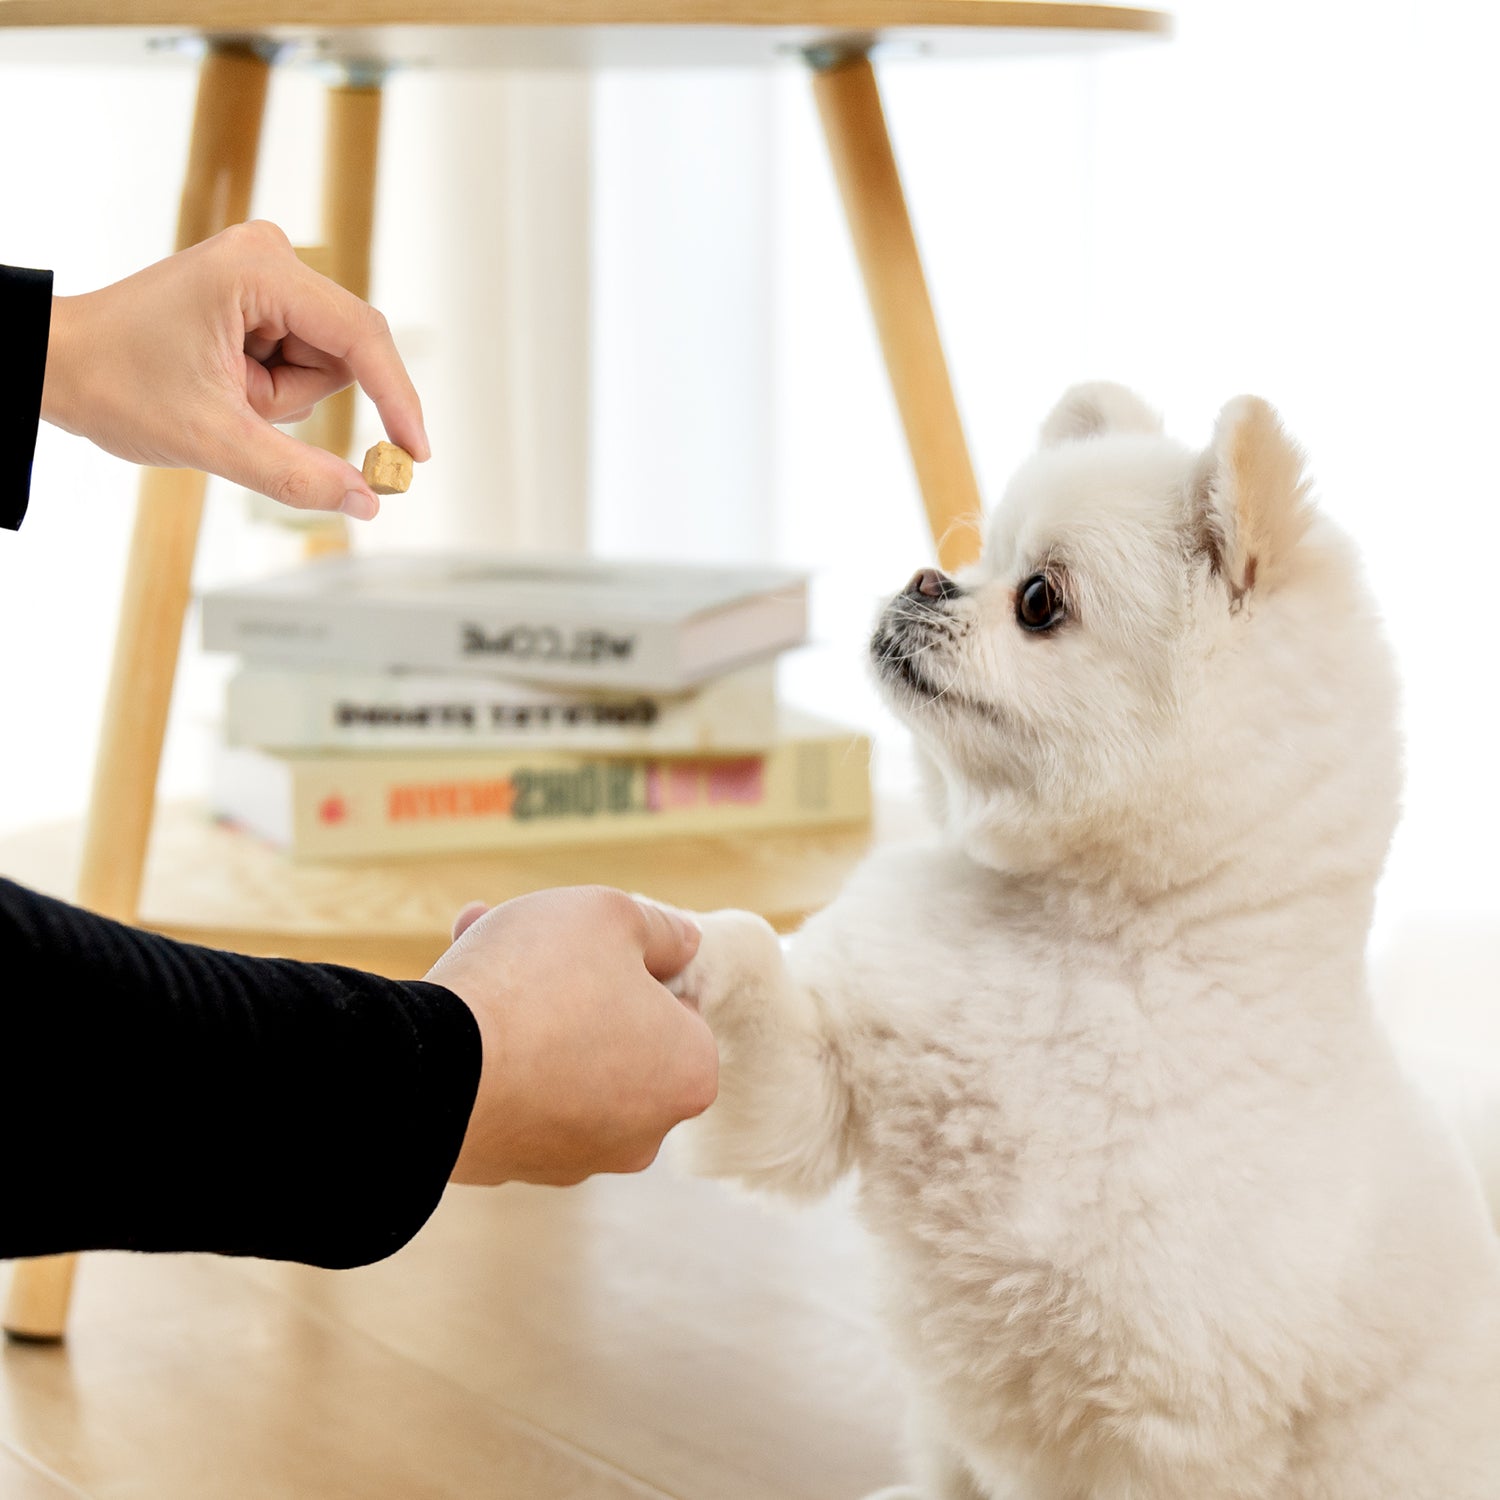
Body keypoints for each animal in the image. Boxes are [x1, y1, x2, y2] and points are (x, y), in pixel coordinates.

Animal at [664, 384, 1500, 1499]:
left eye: (1038, 602)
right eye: (976, 562)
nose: (927, 579)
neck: (1078, 939)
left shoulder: (1169, 1430)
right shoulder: (826, 1090)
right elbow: (768, 1017)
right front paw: (690, 949)